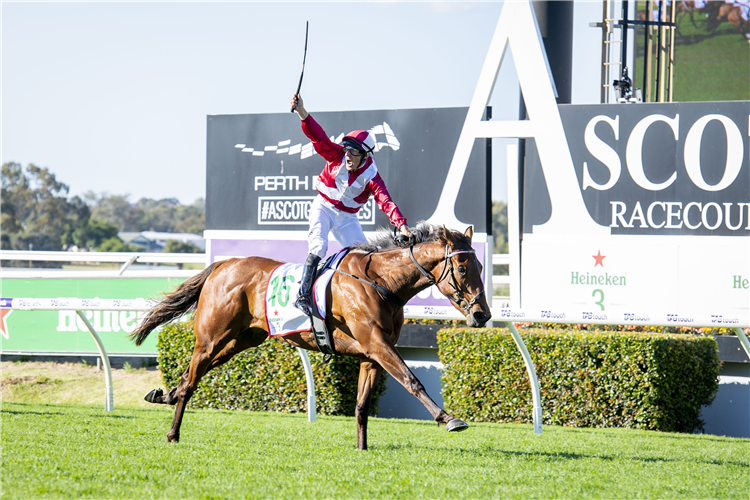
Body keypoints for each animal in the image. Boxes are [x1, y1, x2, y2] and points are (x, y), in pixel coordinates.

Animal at [131, 223, 494, 450]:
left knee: (190, 375)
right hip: (212, 337)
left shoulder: (372, 354)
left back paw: (164, 395)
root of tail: (221, 265)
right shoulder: (377, 344)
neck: (382, 282)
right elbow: (411, 380)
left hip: (240, 340)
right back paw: (173, 432)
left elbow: (362, 405)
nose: (482, 314)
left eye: (480, 267)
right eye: (463, 268)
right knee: (192, 379)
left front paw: (361, 448)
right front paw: (448, 418)